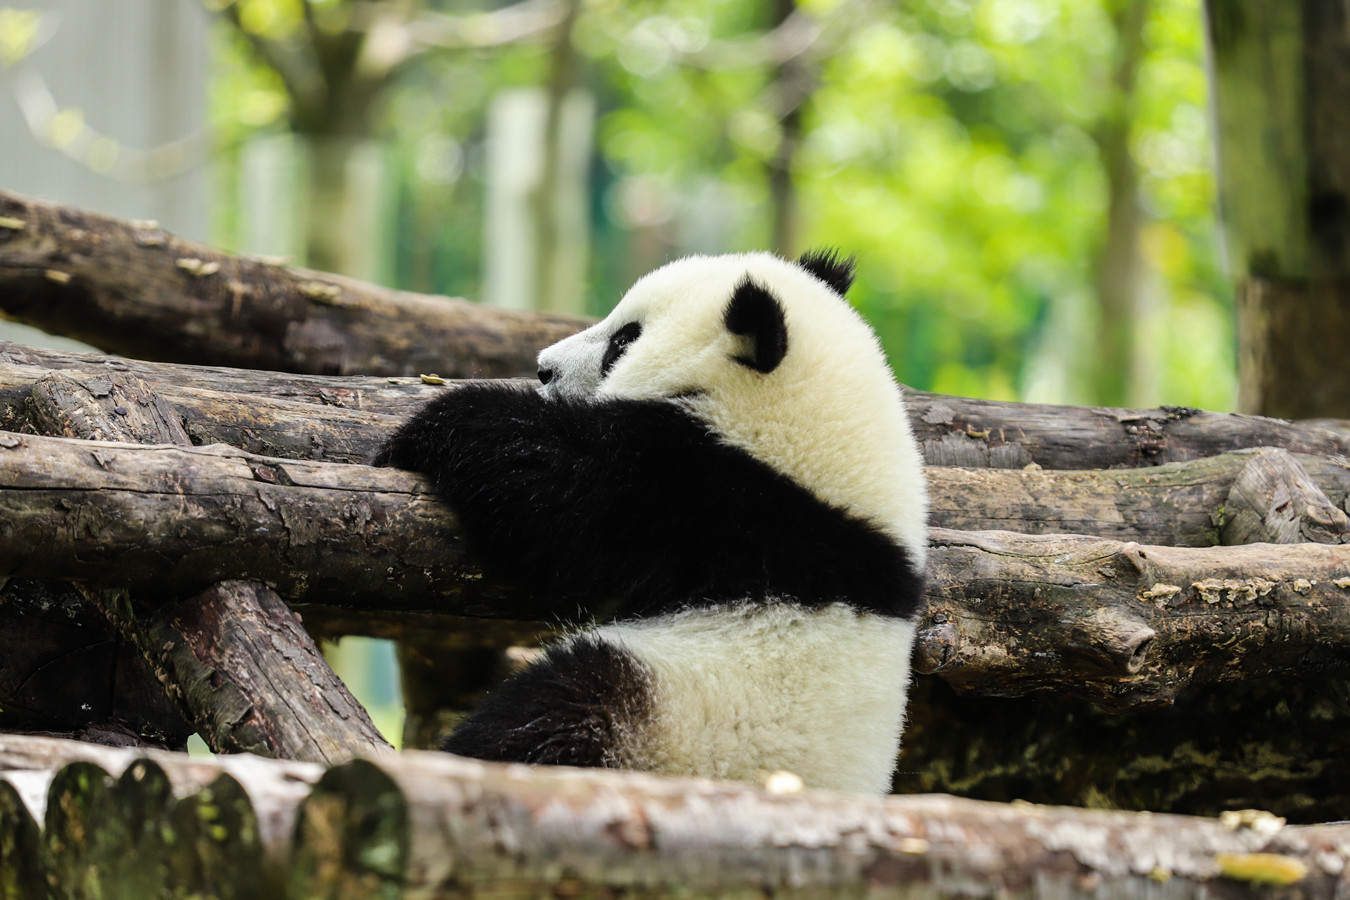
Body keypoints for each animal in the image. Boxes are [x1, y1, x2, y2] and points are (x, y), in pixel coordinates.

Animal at [374, 249, 928, 795]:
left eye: (624, 341)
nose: (543, 368)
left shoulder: (719, 503)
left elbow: (561, 495)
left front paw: (426, 428)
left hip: (667, 711)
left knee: (555, 711)